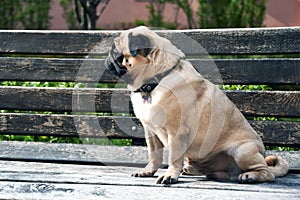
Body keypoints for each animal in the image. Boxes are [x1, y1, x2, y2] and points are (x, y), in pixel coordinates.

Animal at [105, 26, 288, 184]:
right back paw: (204, 172)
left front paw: (170, 175)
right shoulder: (150, 131)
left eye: (115, 51)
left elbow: (173, 157)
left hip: (243, 151)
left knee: (267, 173)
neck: (156, 80)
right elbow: (154, 155)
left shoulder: (177, 132)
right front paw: (148, 171)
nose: (107, 58)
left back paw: (250, 176)